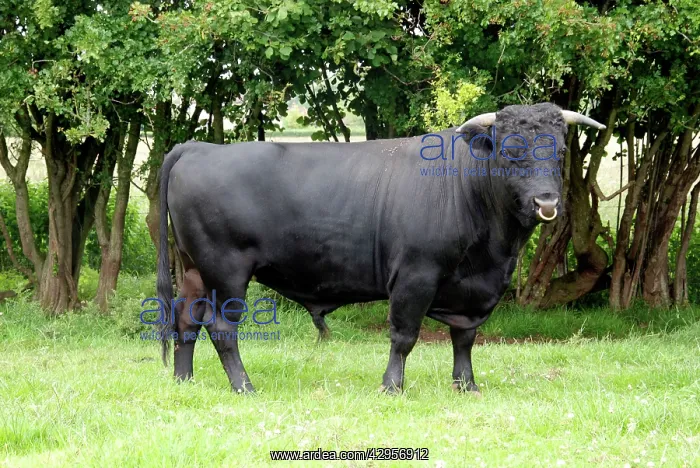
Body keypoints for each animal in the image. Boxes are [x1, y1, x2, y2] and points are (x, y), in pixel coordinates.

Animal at [156, 103, 605, 394]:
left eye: (560, 152)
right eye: (511, 152)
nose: (546, 201)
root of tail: (197, 147)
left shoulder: (471, 289)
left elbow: (464, 337)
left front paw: (467, 385)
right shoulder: (415, 275)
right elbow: (404, 335)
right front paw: (392, 386)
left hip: (194, 270)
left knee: (186, 320)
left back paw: (183, 381)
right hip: (226, 271)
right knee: (221, 328)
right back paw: (243, 386)